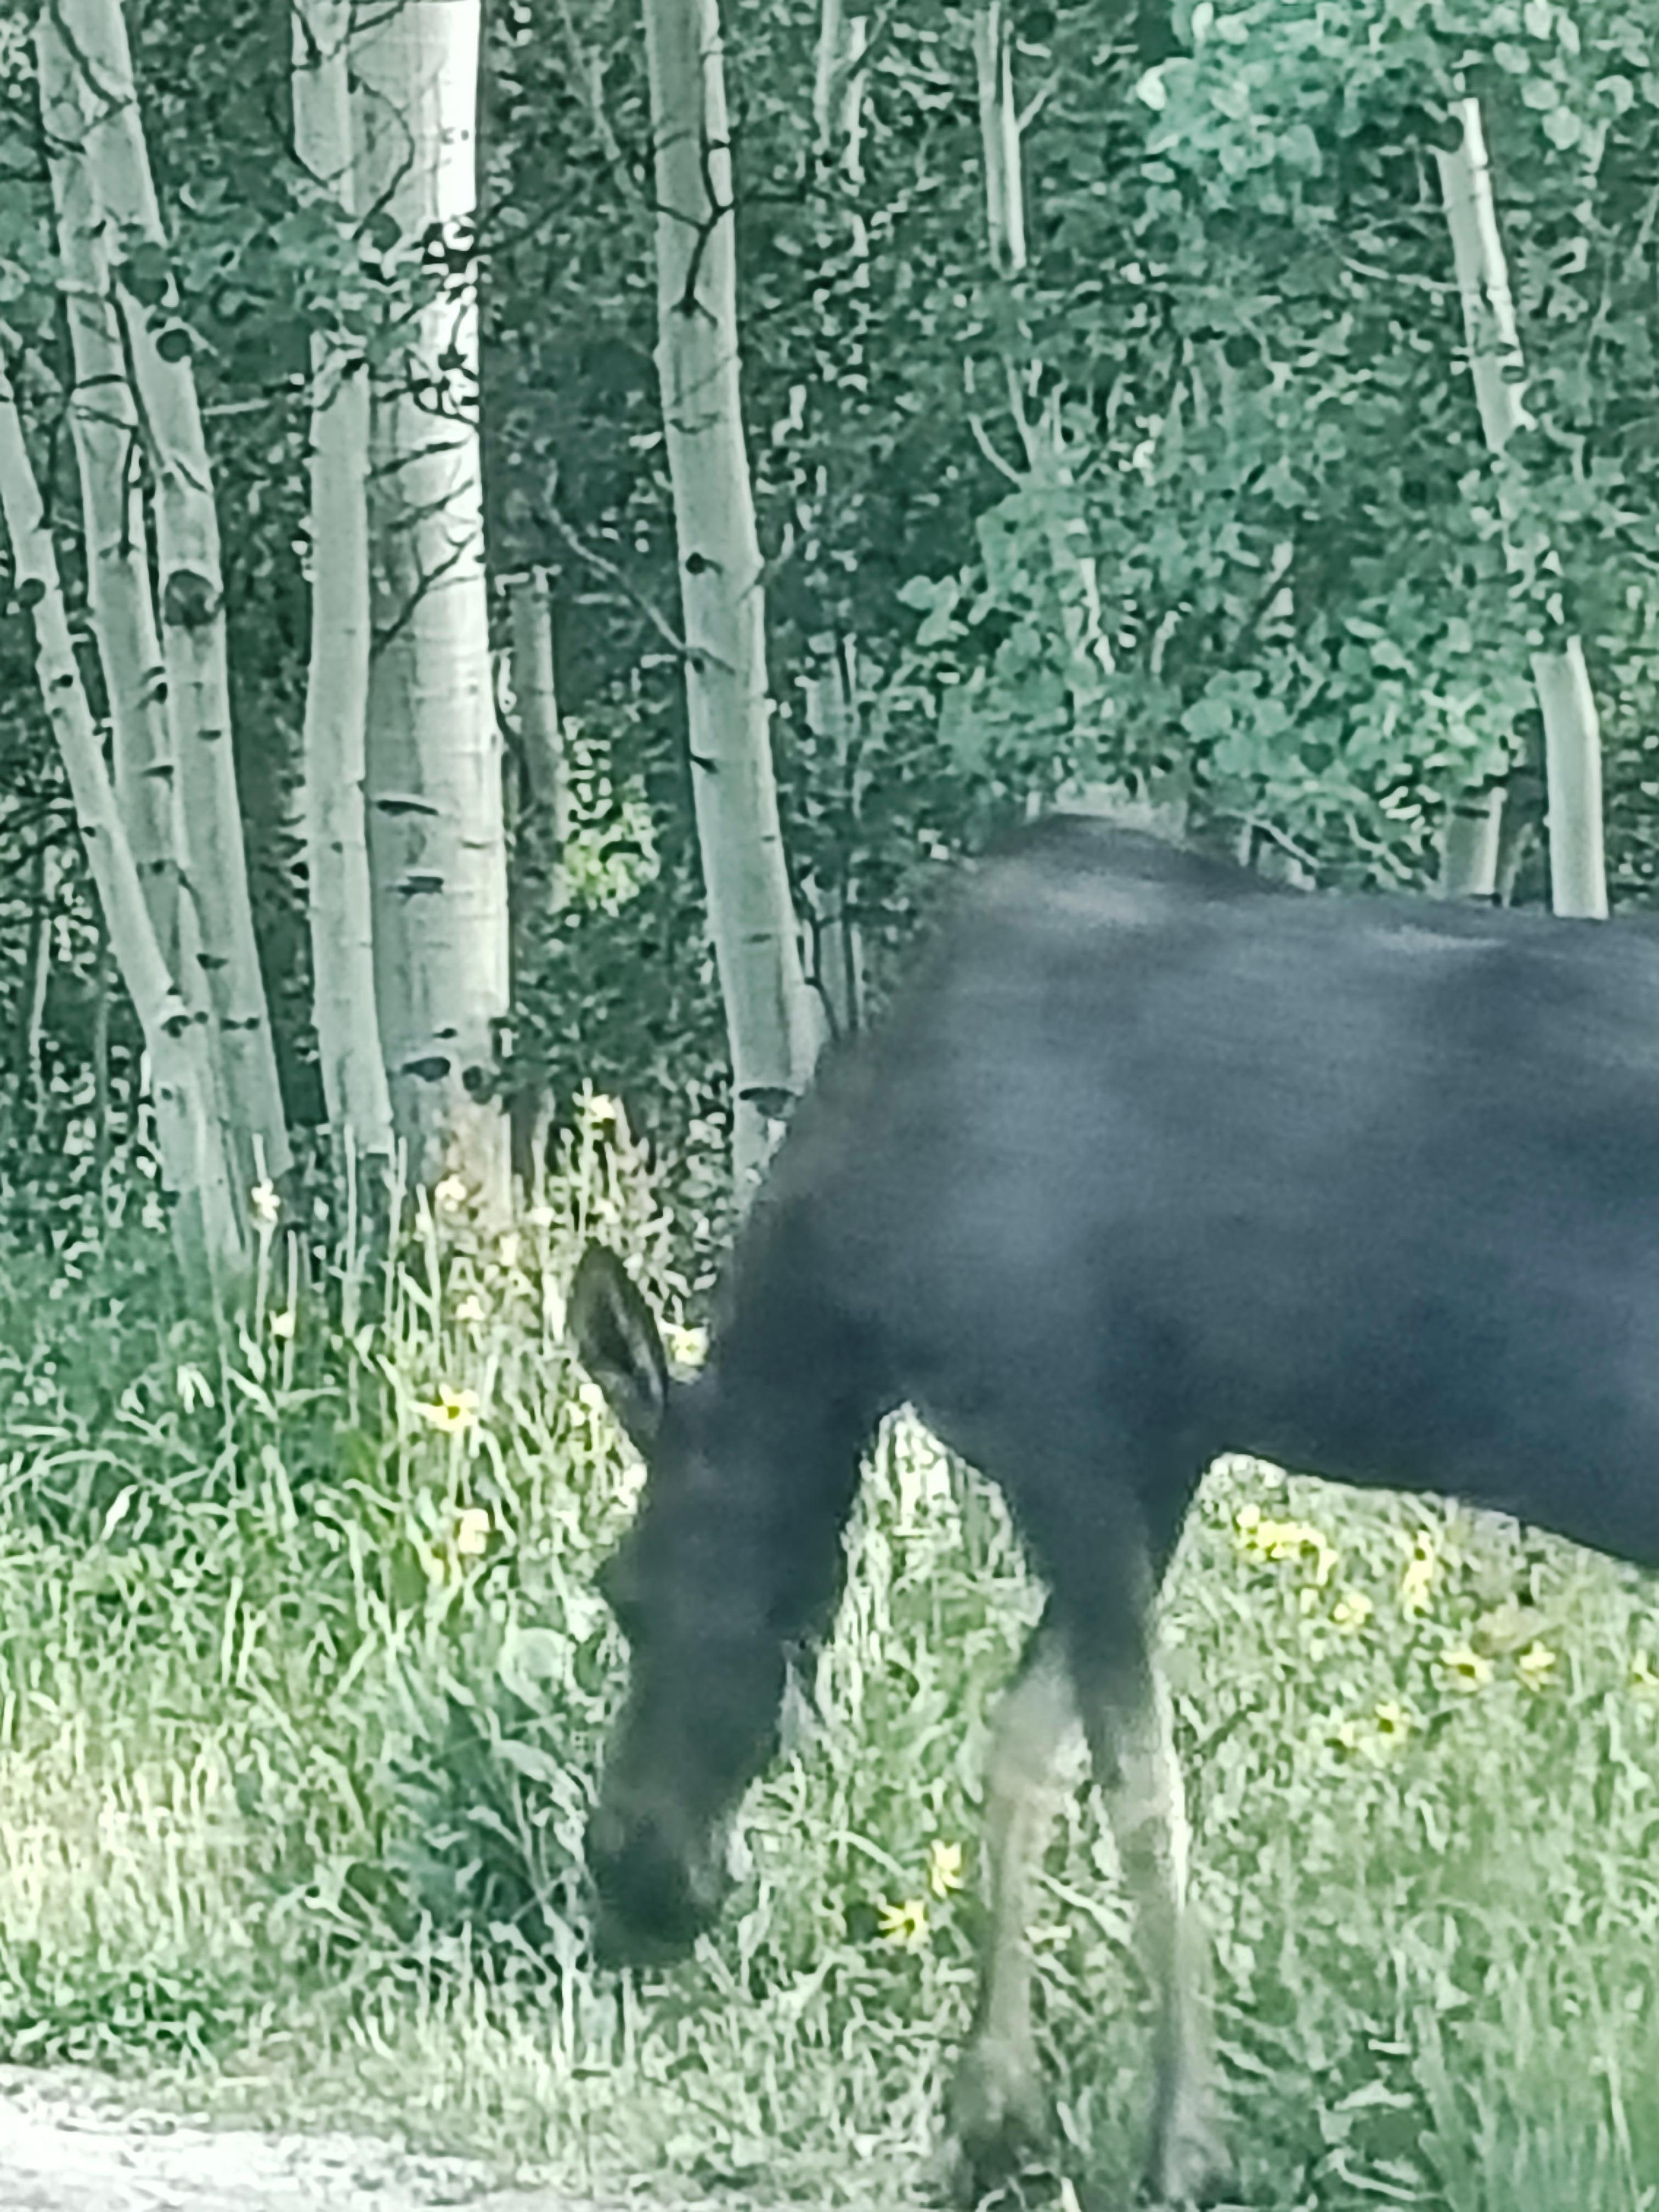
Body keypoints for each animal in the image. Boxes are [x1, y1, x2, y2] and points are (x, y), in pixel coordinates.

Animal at [571, 816, 1659, 2204]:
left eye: (624, 1591)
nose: (636, 1880)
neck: (856, 1285)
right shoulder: (1157, 1462)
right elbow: (1028, 1752)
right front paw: (991, 2121)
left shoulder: (1070, 1442)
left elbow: (1143, 1799)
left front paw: (1183, 2144)